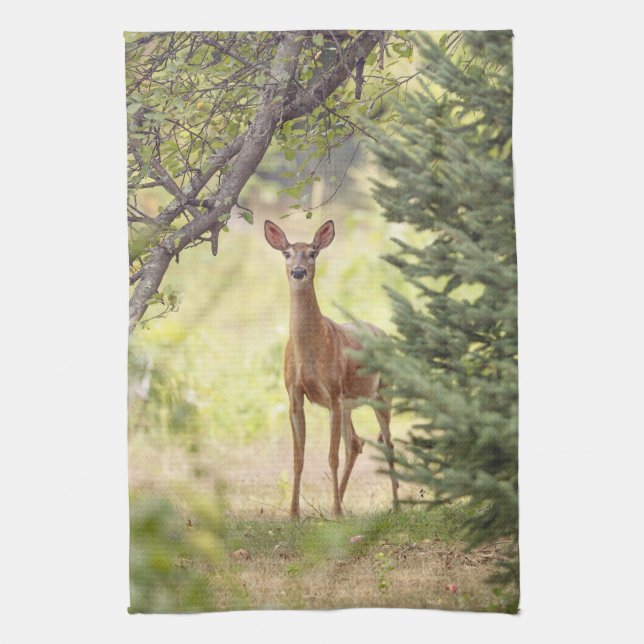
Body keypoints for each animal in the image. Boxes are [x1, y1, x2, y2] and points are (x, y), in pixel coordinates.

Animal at [264, 219, 400, 518]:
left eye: (313, 253)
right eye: (286, 253)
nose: (299, 271)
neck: (311, 351)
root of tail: (384, 334)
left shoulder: (333, 393)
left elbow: (331, 456)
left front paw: (336, 512)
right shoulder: (294, 395)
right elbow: (298, 458)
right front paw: (294, 513)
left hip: (383, 392)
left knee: (387, 443)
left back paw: (395, 505)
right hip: (350, 403)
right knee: (356, 443)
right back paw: (338, 503)